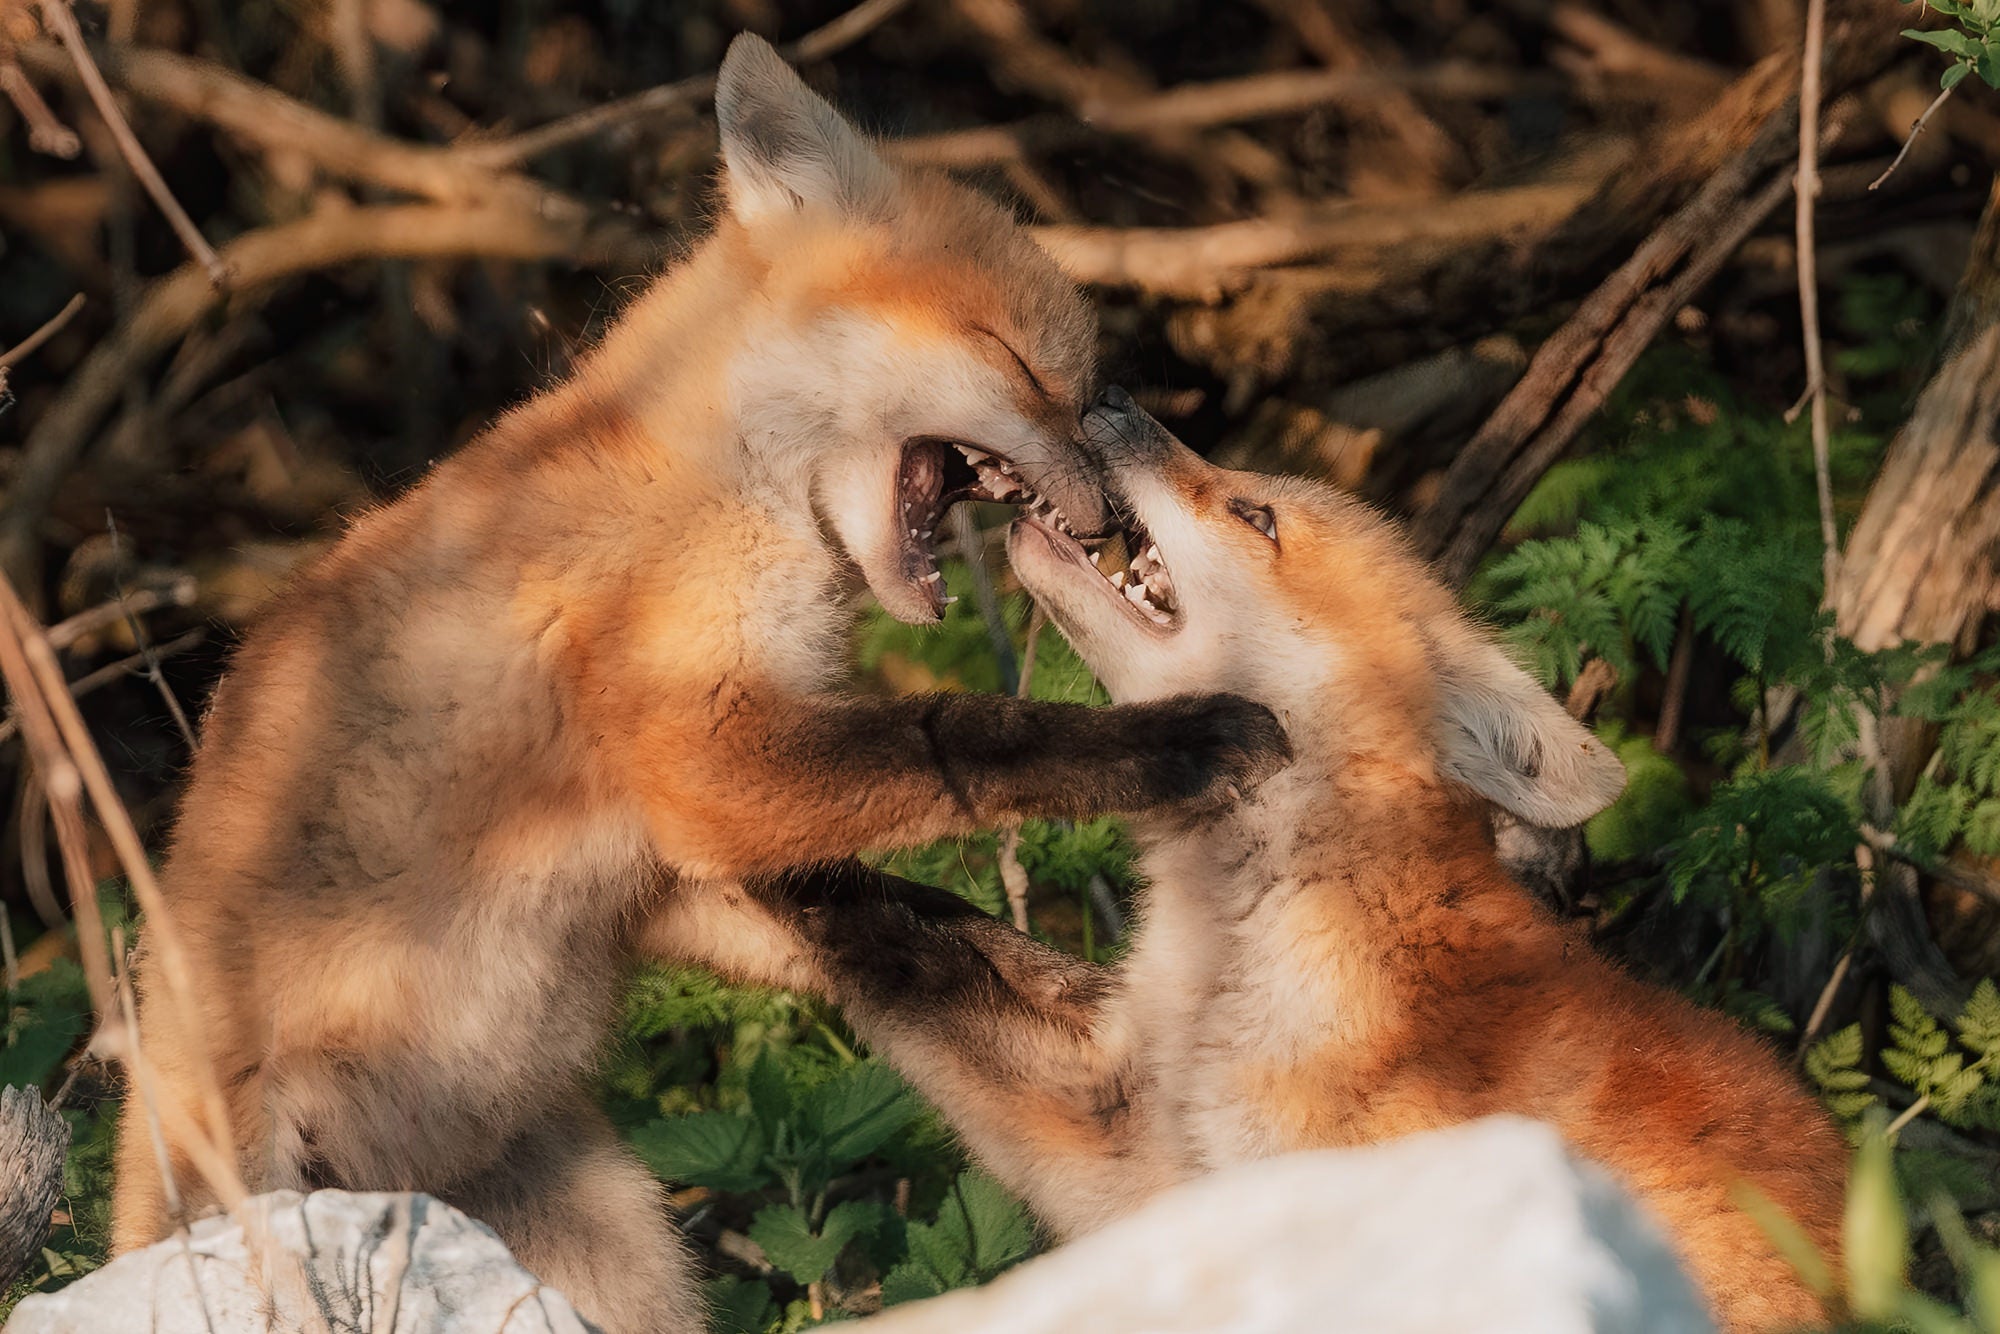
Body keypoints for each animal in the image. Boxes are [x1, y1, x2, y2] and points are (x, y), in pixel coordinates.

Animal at [110, 44, 1289, 1334]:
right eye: (1026, 366)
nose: (1114, 510)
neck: (714, 476)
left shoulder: (661, 858)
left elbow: (902, 901)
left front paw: (1040, 975)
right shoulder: (696, 756)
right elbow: (967, 735)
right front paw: (1172, 741)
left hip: (614, 1249)